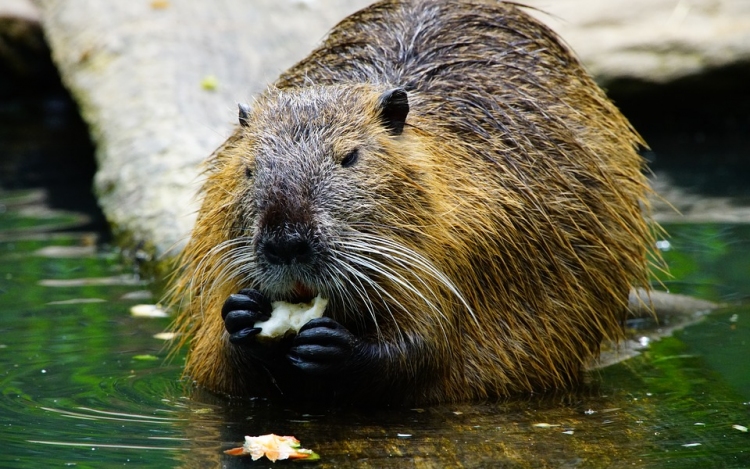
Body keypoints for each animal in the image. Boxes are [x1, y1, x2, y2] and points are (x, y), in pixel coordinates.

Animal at [169, 0, 656, 404]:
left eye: (350, 156)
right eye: (249, 167)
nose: (285, 243)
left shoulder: (474, 237)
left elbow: (430, 346)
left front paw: (331, 344)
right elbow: (214, 369)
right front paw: (240, 316)